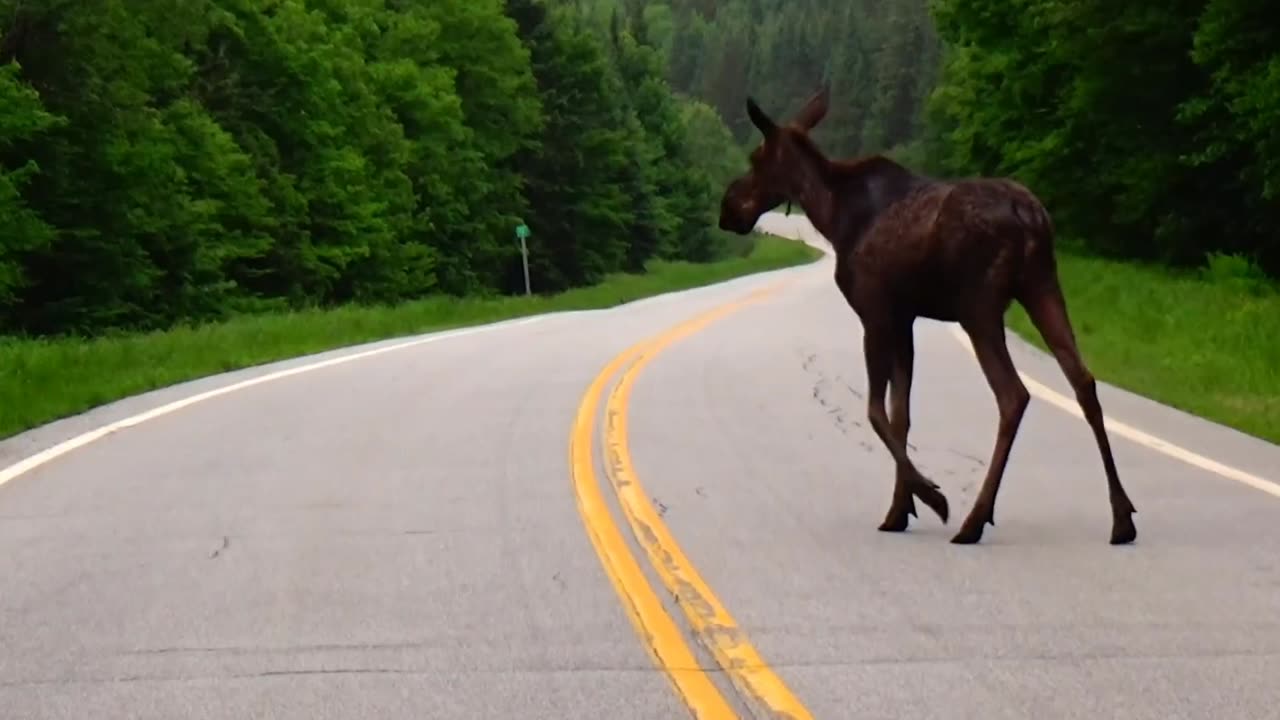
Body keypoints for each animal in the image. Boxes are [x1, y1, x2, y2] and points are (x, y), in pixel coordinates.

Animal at [721, 85, 1141, 543]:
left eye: (755, 158)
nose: (727, 208)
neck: (831, 214)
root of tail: (1030, 218)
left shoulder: (875, 312)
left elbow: (875, 410)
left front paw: (930, 497)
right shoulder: (905, 318)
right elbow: (901, 414)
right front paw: (898, 510)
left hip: (979, 307)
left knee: (1013, 394)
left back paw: (975, 518)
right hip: (1043, 287)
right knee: (1083, 381)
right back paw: (1121, 516)